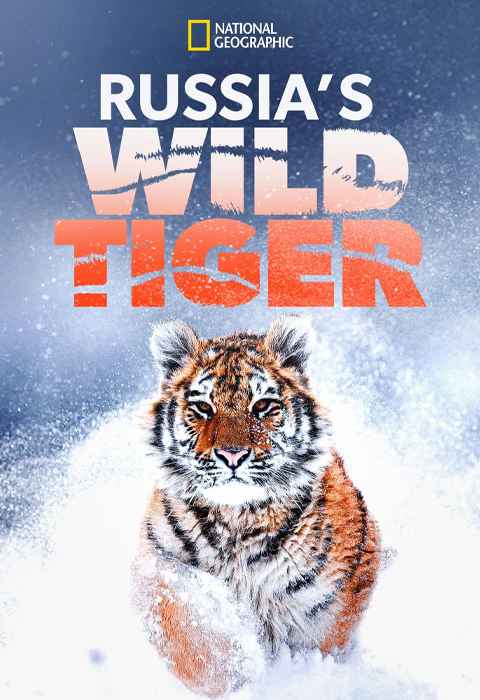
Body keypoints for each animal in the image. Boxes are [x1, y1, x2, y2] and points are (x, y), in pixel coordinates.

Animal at [132, 316, 380, 697]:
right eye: (203, 408)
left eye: (262, 406)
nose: (232, 454)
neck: (237, 519)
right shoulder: (155, 563)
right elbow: (182, 621)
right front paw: (233, 668)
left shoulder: (332, 600)